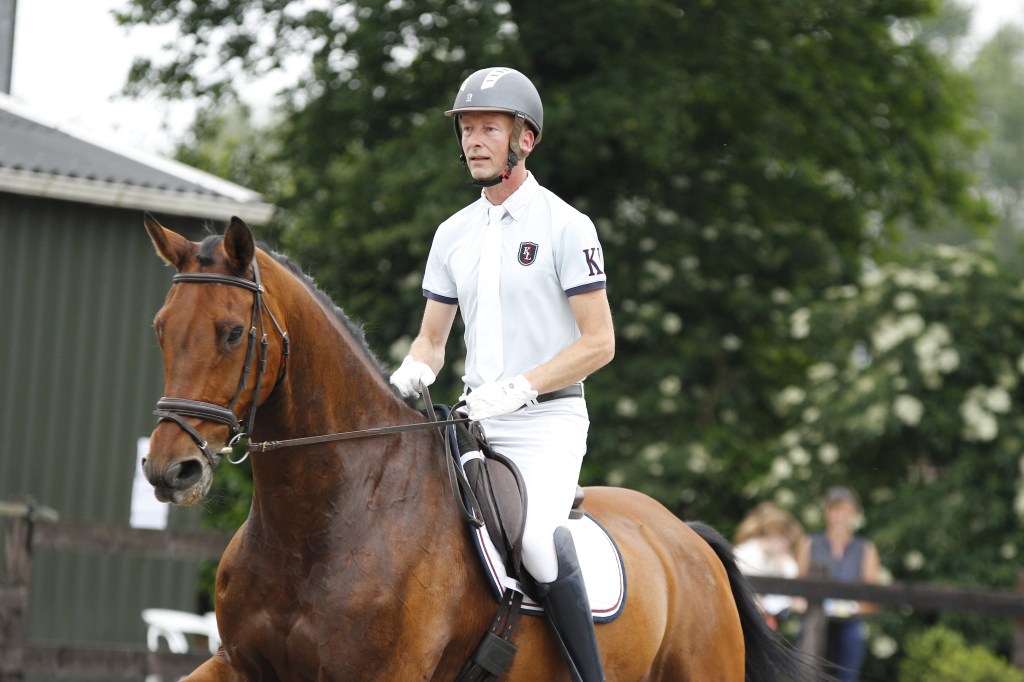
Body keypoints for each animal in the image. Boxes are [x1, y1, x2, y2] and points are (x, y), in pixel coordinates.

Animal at [141, 214, 808, 681]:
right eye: (160, 329)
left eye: (232, 334)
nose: (170, 470)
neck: (323, 522)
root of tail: (688, 539)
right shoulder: (237, 664)